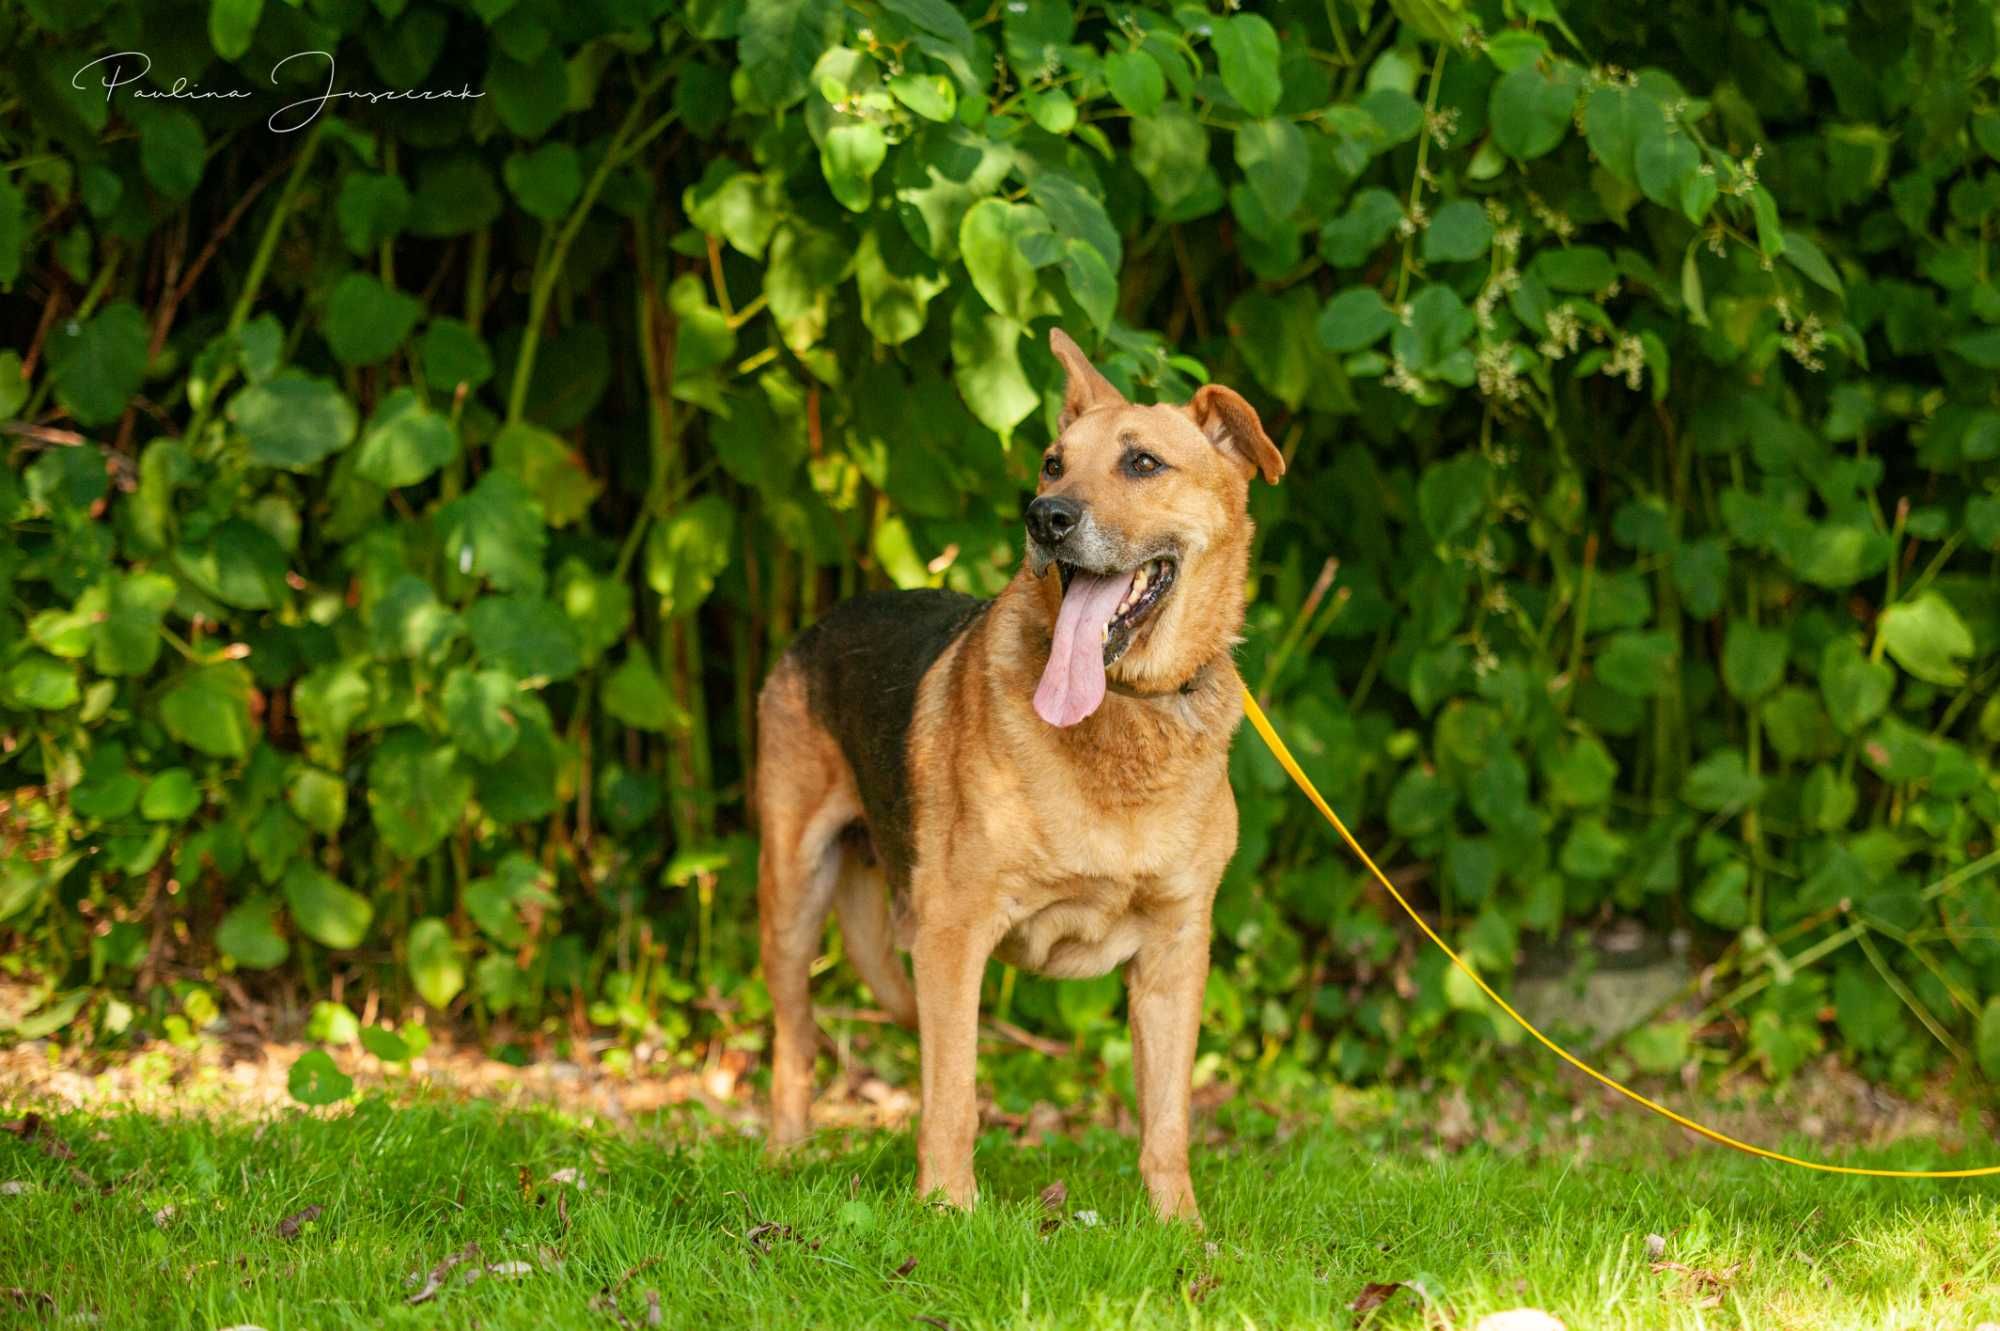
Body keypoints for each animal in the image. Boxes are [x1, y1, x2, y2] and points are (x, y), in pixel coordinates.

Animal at [752, 325, 1280, 1215]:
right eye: (1051, 463)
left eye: (1143, 463)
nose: (1046, 518)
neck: (1124, 713)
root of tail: (822, 620)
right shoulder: (953, 934)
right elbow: (953, 1099)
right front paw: (948, 1212)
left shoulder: (1176, 949)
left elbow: (1168, 1121)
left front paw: (1179, 1227)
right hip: (793, 894)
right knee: (795, 1041)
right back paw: (786, 1156)